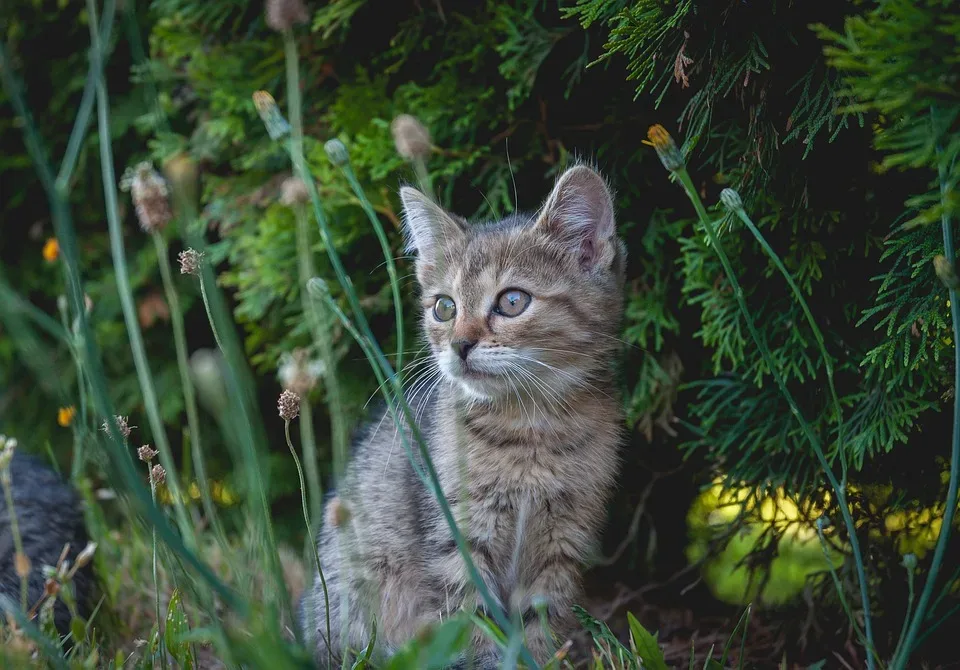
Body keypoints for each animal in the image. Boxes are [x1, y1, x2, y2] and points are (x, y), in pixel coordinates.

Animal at [302, 161, 632, 668]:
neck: (530, 428)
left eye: (512, 301)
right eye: (444, 307)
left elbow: (539, 626)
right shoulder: (457, 540)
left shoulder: (563, 542)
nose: (459, 344)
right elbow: (471, 625)